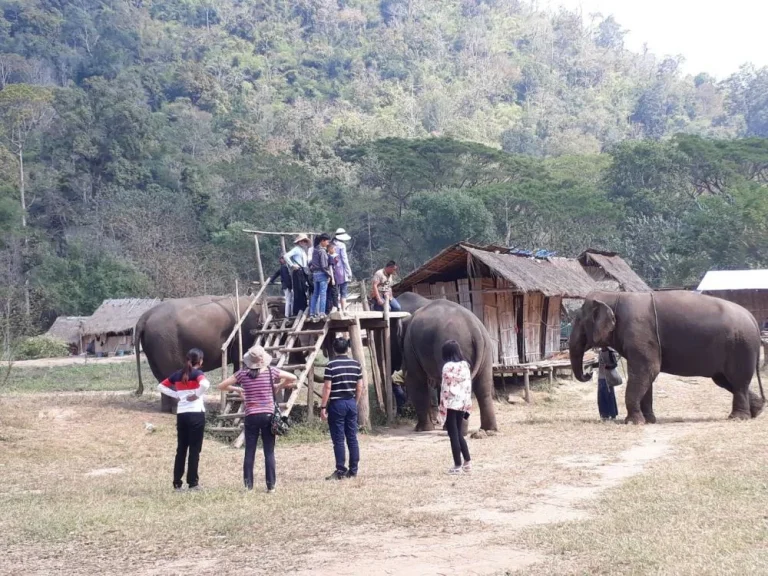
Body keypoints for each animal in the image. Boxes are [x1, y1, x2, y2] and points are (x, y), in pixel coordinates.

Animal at [134, 294, 262, 408]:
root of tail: (144, 317)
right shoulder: (245, 336)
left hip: (153, 347)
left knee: (160, 376)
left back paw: (167, 409)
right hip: (165, 343)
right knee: (171, 374)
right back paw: (176, 409)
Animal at [402, 300, 498, 430]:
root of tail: (475, 328)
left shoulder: (409, 346)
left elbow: (415, 380)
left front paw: (422, 429)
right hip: (487, 350)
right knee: (483, 388)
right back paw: (488, 430)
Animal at [568, 292, 764, 424]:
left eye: (578, 321)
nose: (589, 373)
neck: (614, 296)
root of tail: (753, 318)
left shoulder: (640, 333)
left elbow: (647, 370)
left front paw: (633, 422)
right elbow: (647, 376)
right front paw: (649, 420)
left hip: (741, 347)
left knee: (738, 381)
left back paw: (737, 418)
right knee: (726, 380)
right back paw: (757, 411)